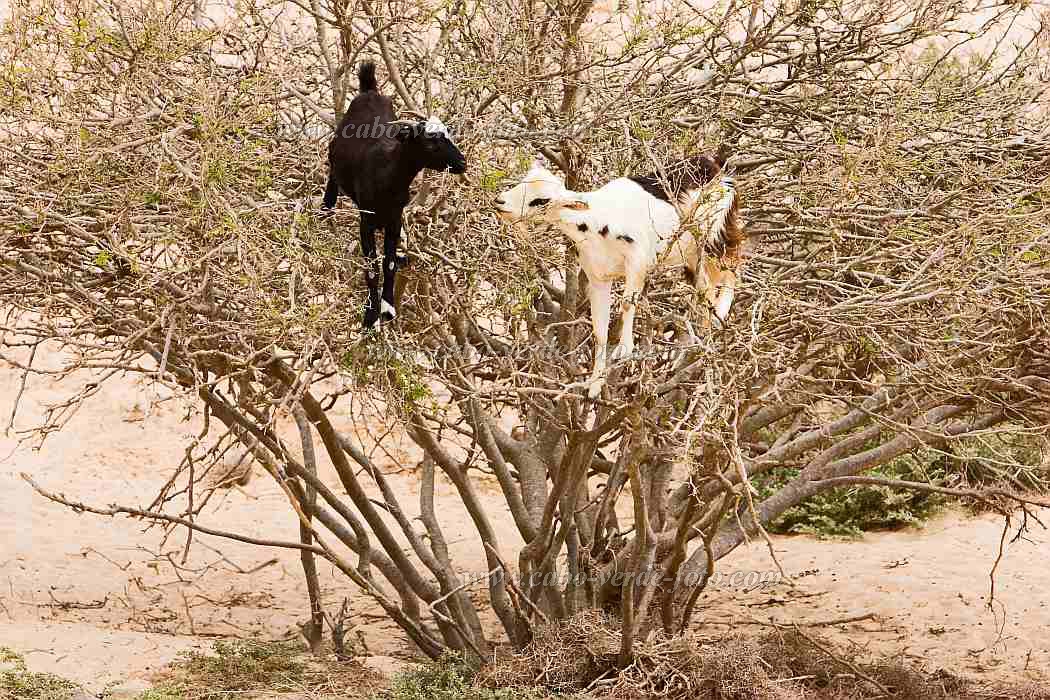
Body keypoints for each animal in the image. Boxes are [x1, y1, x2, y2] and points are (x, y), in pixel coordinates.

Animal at [321, 60, 466, 329]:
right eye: (430, 143)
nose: (462, 163)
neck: (387, 175)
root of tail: (369, 90)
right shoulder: (366, 221)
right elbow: (371, 267)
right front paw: (370, 316)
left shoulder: (394, 220)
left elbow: (387, 264)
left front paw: (387, 308)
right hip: (335, 156)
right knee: (333, 177)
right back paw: (325, 211)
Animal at [493, 156, 747, 398]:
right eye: (523, 181)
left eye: (541, 200)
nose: (500, 202)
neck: (596, 221)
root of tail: (715, 168)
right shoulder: (598, 278)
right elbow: (599, 331)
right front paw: (595, 386)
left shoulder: (637, 261)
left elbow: (626, 303)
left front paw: (625, 350)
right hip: (693, 255)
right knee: (706, 287)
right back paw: (698, 343)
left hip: (713, 236)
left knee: (732, 268)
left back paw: (718, 317)